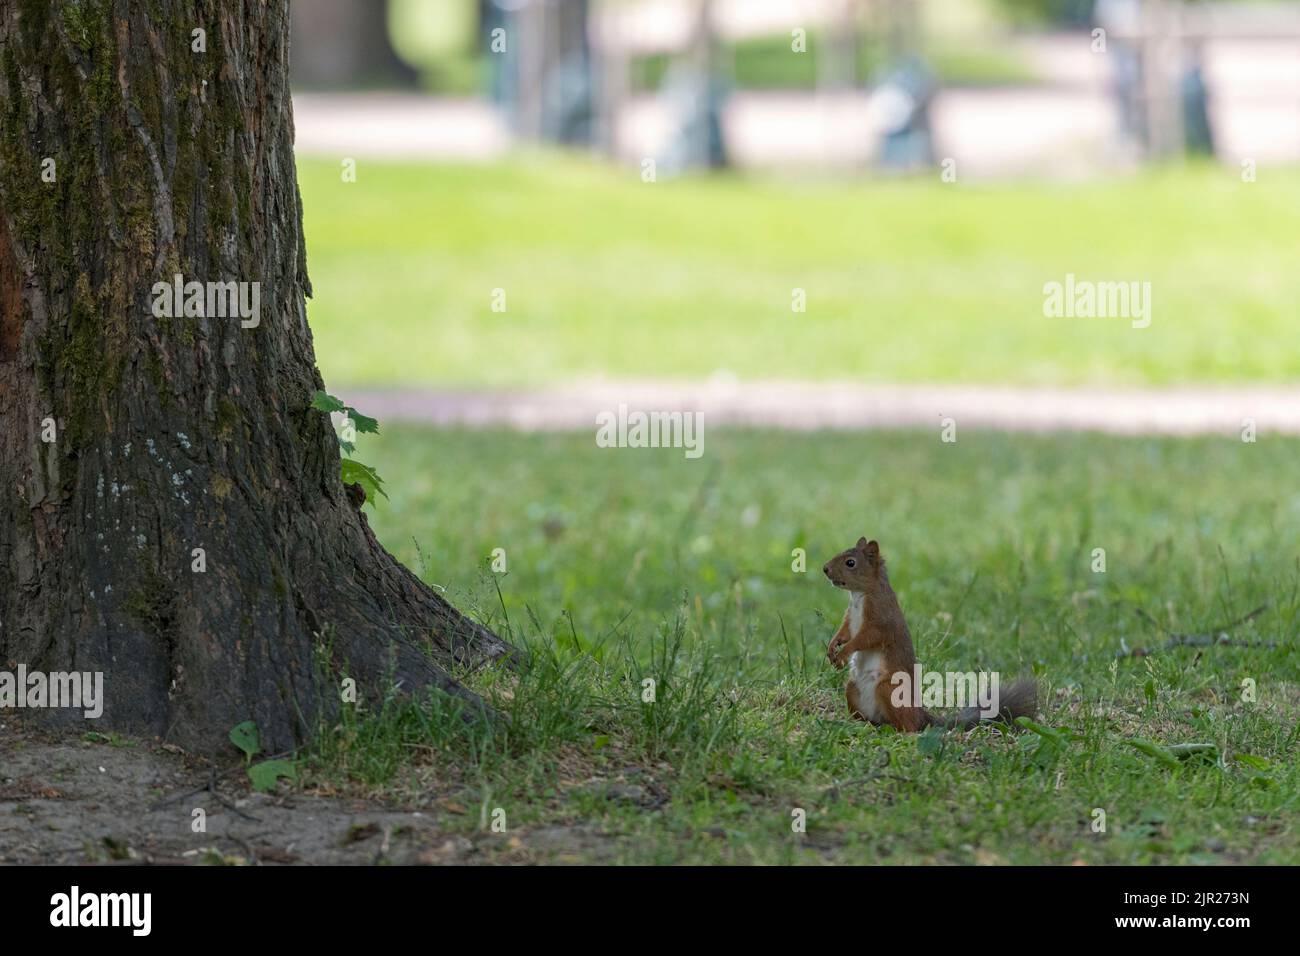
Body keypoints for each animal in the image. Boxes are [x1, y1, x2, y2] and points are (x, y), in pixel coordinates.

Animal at [821, 538, 1034, 733]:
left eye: (850, 562)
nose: (825, 568)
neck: (860, 595)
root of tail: (921, 716)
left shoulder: (881, 619)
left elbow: (865, 638)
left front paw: (844, 653)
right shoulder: (850, 618)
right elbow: (845, 632)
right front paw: (832, 647)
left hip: (889, 688)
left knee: (909, 725)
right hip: (852, 688)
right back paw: (858, 723)